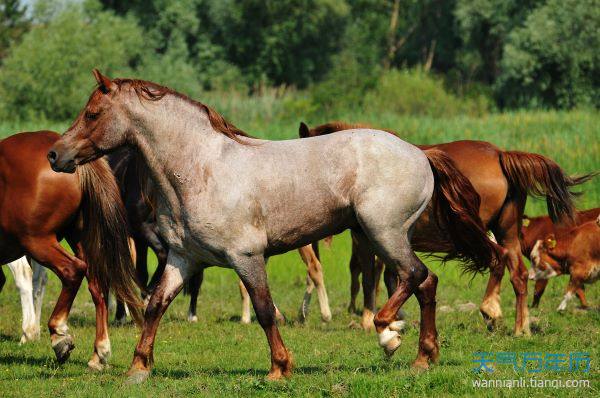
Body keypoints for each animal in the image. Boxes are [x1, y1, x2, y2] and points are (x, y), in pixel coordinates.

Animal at [0, 131, 139, 370]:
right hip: (80, 239)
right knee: (96, 284)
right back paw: (99, 352)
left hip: (37, 241)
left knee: (72, 270)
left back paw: (58, 335)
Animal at [47, 70, 496, 382]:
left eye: (92, 113)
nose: (55, 154)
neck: (201, 168)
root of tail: (420, 153)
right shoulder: (182, 258)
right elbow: (155, 304)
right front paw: (138, 367)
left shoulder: (247, 256)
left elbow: (264, 310)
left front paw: (279, 368)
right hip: (390, 236)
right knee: (427, 283)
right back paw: (424, 357)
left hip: (382, 232)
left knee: (414, 276)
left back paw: (389, 334)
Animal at [298, 121, 592, 336]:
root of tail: (500, 155)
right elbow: (390, 275)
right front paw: (395, 317)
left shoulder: (369, 238)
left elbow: (371, 275)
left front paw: (372, 318)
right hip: (506, 230)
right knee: (517, 273)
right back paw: (521, 328)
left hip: (479, 230)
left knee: (495, 260)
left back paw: (491, 308)